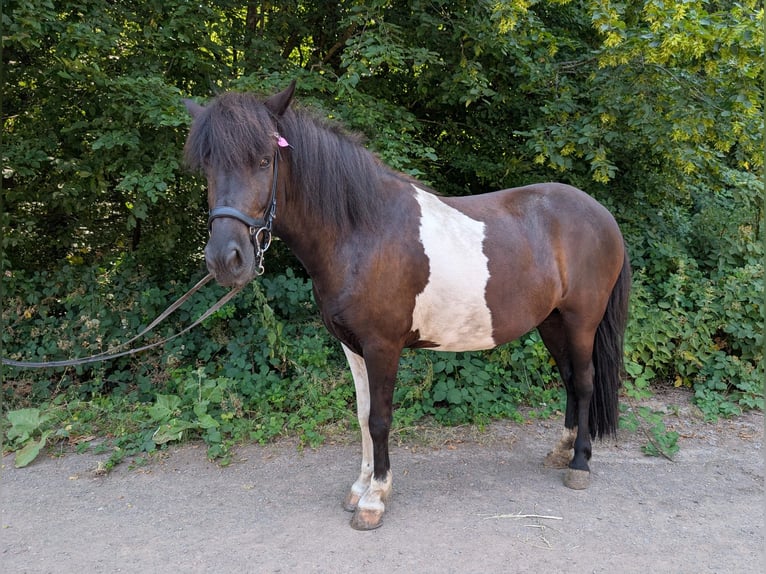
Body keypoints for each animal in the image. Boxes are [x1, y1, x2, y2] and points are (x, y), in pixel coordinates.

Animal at [183, 81, 631, 530]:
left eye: (263, 160)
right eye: (207, 165)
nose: (226, 259)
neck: (362, 231)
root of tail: (603, 215)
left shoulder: (383, 345)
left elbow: (380, 420)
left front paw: (374, 499)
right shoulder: (352, 346)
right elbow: (362, 416)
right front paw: (359, 488)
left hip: (581, 321)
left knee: (585, 382)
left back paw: (579, 464)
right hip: (551, 322)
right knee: (570, 380)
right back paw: (561, 450)